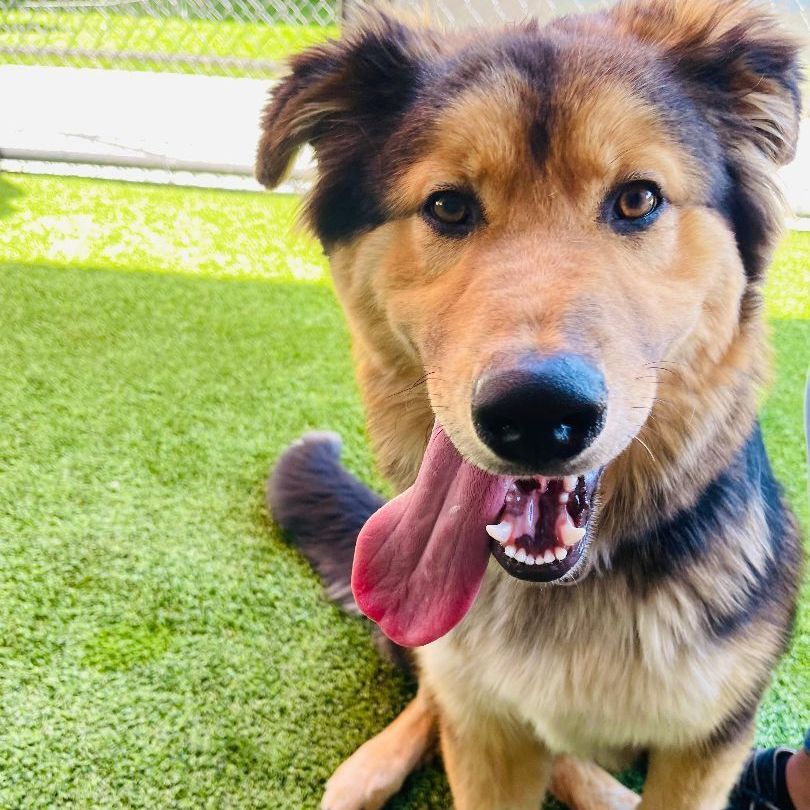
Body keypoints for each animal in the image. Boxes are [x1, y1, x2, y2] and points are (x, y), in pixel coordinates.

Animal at [256, 3, 800, 804]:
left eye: (638, 199)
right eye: (449, 206)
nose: (538, 415)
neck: (569, 586)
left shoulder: (709, 742)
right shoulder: (488, 739)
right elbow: (467, 714)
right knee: (436, 692)